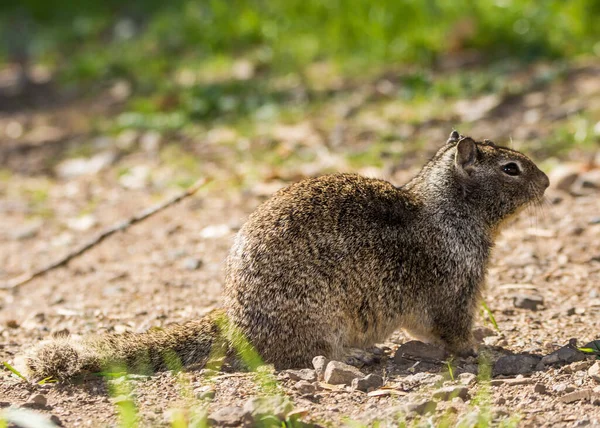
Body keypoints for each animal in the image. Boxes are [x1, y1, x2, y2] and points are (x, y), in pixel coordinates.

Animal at [21, 130, 548, 378]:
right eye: (511, 168)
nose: (546, 181)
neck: (447, 209)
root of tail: (235, 322)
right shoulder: (456, 291)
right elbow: (455, 333)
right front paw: (482, 350)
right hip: (320, 319)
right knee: (301, 355)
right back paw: (356, 356)